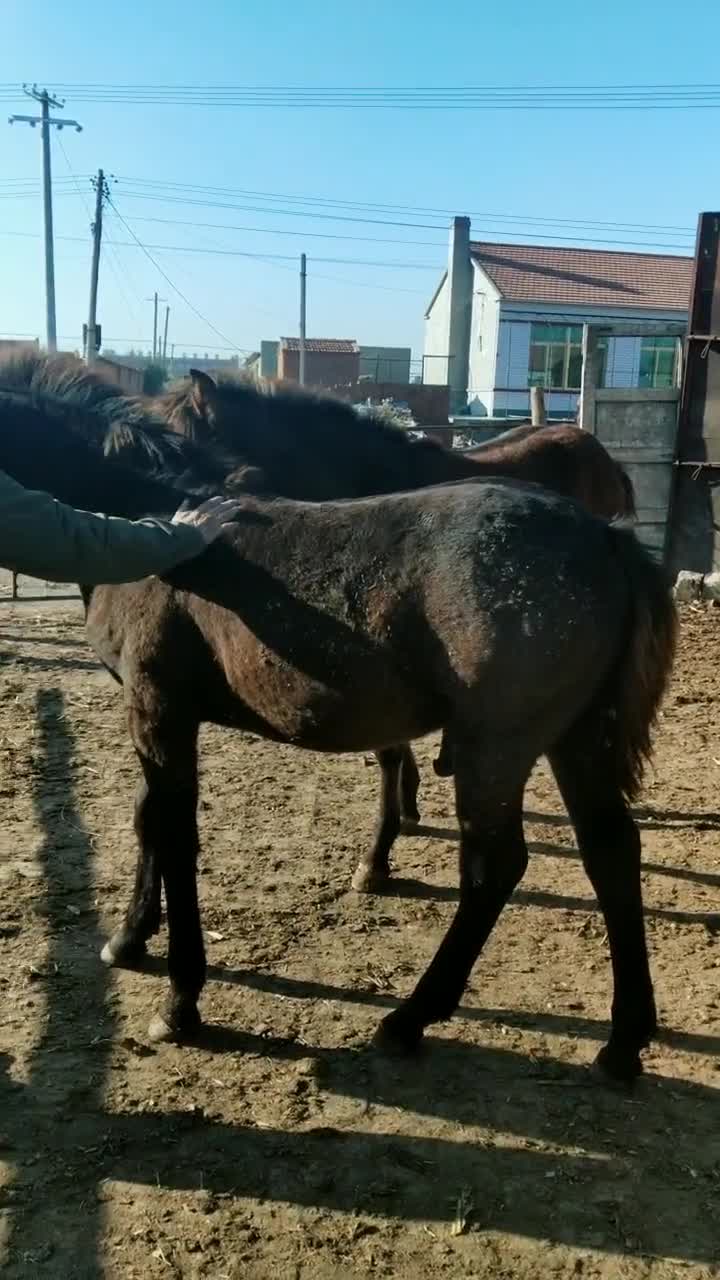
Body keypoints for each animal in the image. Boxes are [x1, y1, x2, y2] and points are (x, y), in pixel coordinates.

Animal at [0, 368, 676, 1085]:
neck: (144, 516)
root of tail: (605, 539)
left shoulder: (159, 708)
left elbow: (176, 835)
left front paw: (181, 1001)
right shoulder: (154, 713)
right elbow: (147, 818)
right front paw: (129, 937)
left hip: (498, 747)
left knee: (494, 867)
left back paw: (409, 1020)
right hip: (578, 738)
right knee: (611, 851)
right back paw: (623, 1043)